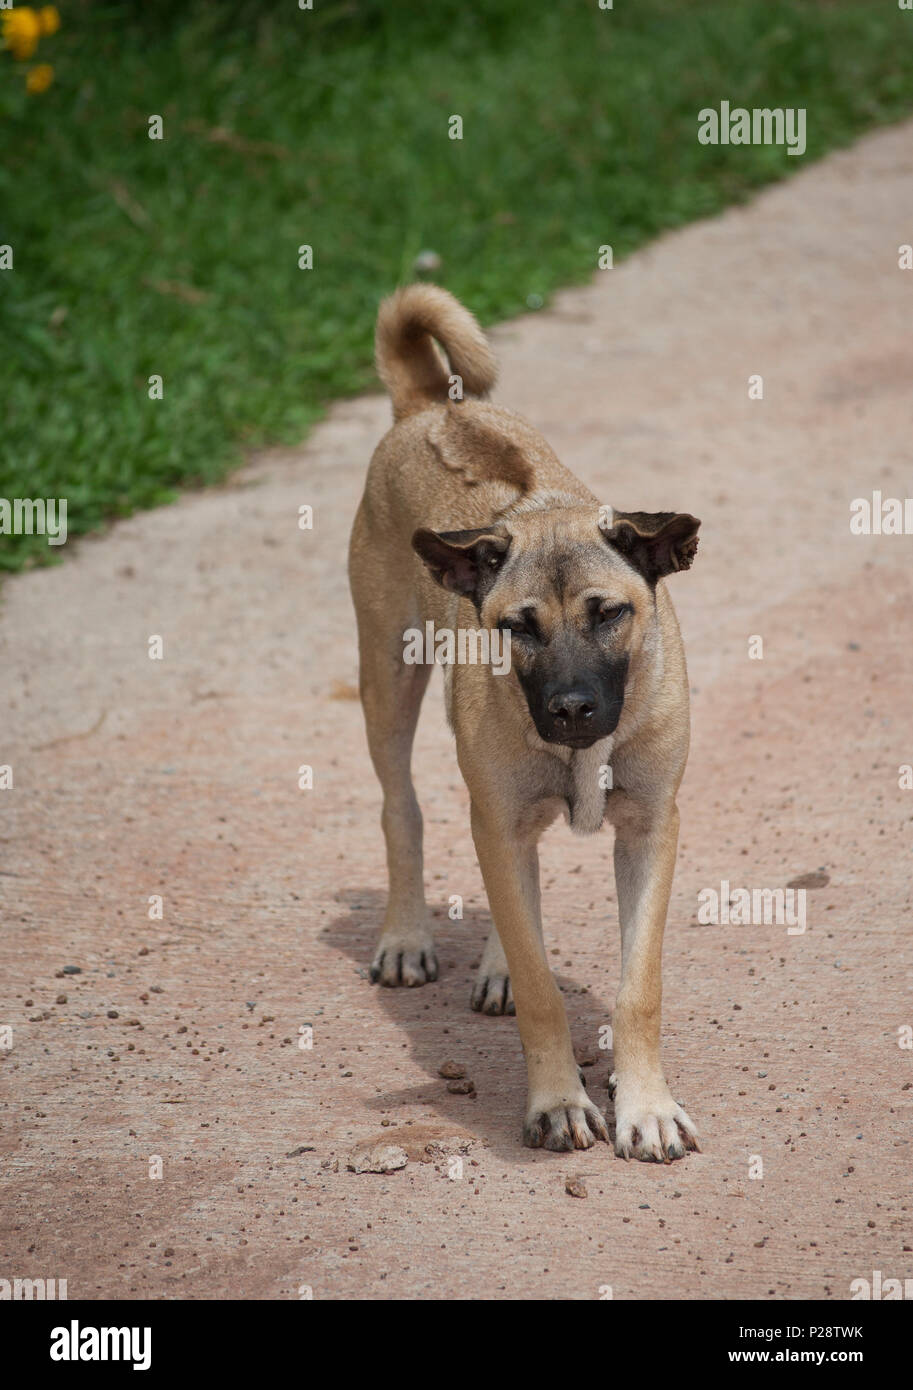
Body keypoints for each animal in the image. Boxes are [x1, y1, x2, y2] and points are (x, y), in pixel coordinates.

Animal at [347, 284, 697, 1162]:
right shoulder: (497, 809)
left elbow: (638, 987)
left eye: (610, 614)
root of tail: (429, 406)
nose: (570, 709)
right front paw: (558, 1102)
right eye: (518, 627)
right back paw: (407, 935)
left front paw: (644, 1105)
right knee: (402, 810)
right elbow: (544, 992)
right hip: (388, 679)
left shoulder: (650, 829)